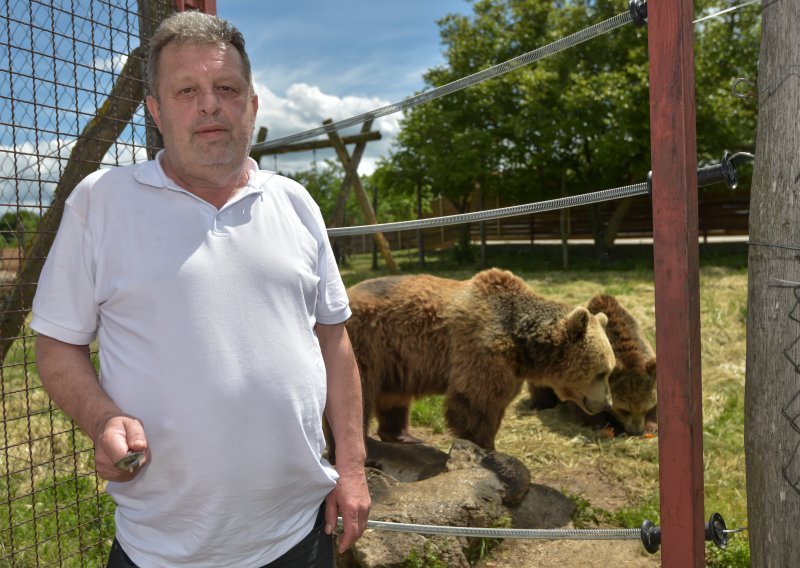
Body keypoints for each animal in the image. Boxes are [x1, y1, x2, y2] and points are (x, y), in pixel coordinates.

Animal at [346, 268, 616, 450]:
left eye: (610, 371)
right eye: (601, 372)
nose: (606, 403)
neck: (522, 344)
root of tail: (349, 289)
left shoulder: (510, 367)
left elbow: (495, 402)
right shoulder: (482, 348)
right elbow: (476, 400)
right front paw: (484, 446)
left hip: (396, 357)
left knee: (394, 396)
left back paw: (404, 436)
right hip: (365, 342)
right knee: (360, 391)